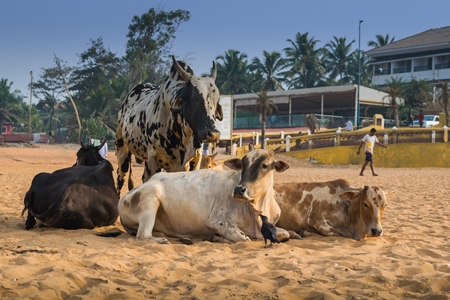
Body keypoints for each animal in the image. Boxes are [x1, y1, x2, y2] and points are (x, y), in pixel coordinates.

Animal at [115, 55, 222, 197]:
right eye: (195, 99)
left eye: (216, 101)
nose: (213, 134)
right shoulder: (154, 161)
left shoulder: (194, 161)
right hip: (123, 153)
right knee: (120, 178)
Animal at [118, 149, 290, 243]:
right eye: (243, 164)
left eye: (264, 165)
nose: (239, 190)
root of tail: (123, 198)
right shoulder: (217, 221)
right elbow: (243, 238)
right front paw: (216, 237)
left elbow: (286, 234)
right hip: (151, 196)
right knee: (143, 235)